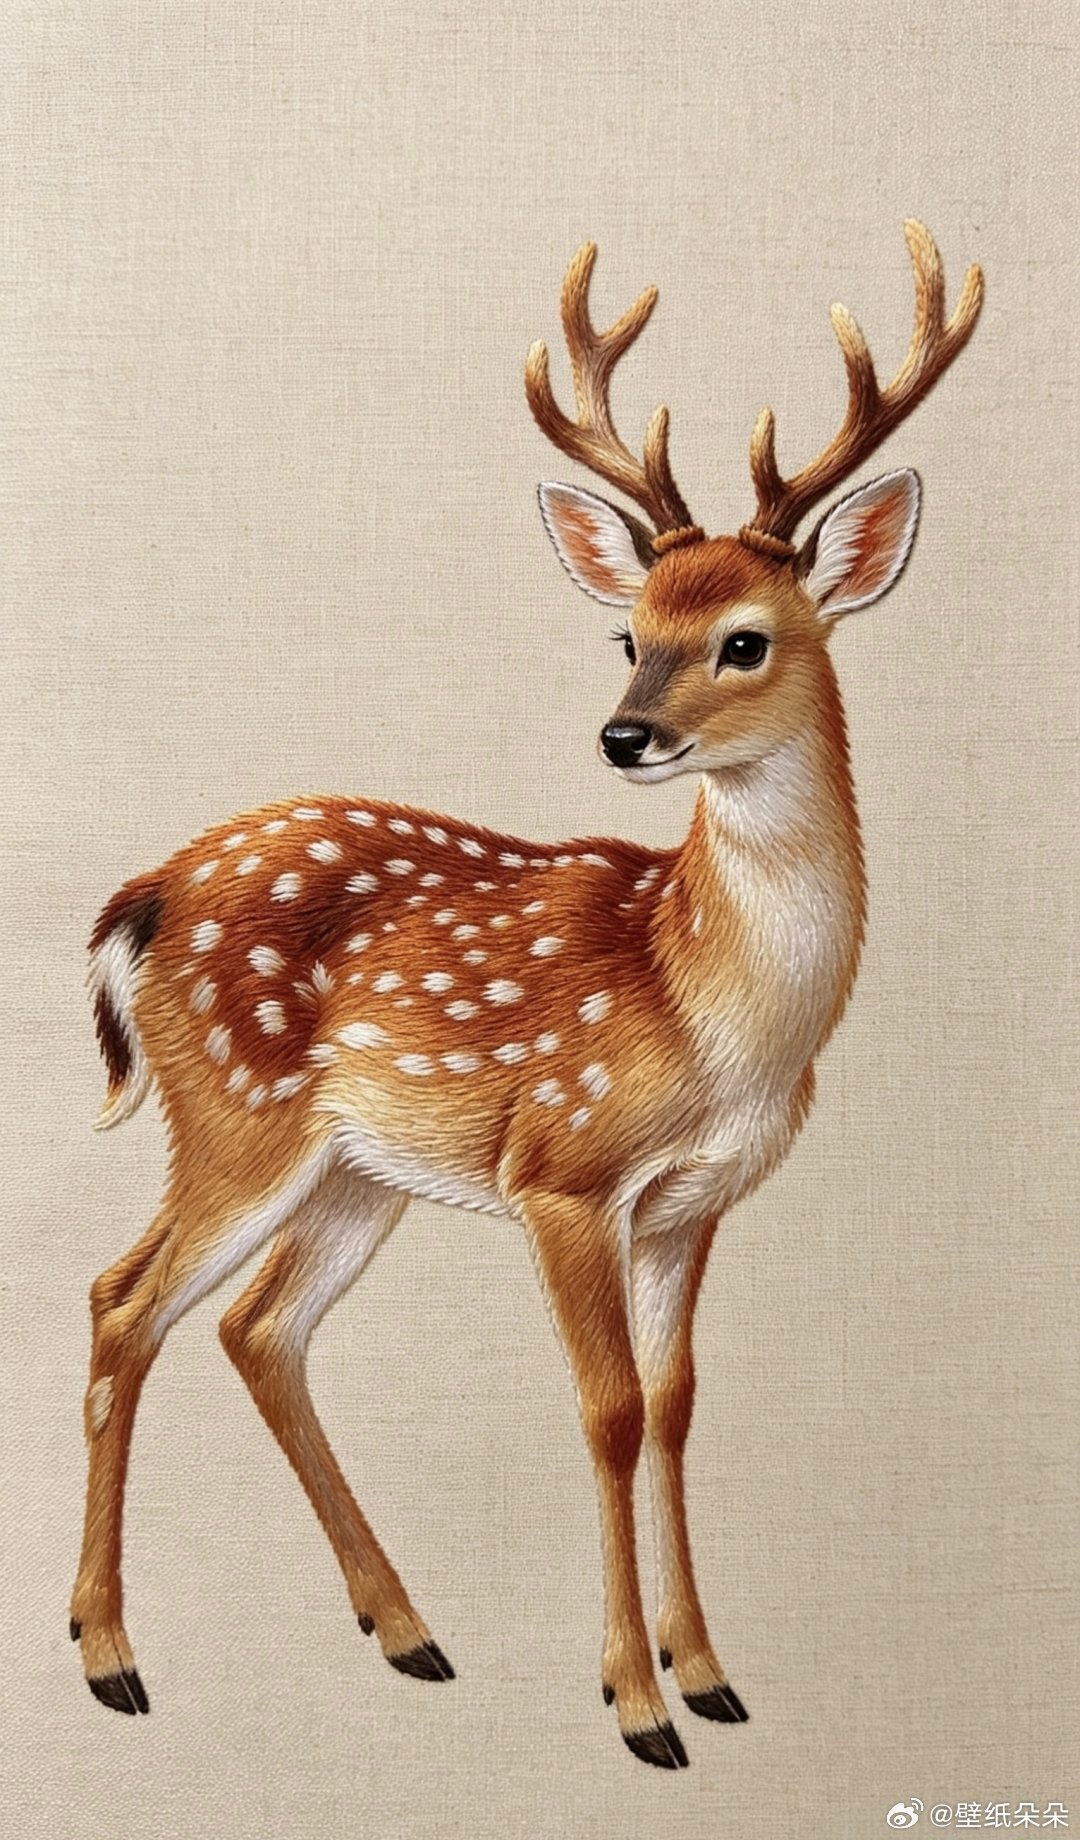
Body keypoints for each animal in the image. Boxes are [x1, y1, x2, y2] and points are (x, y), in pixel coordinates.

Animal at [70, 221, 982, 1768]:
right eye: (628, 631)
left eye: (745, 637)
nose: (626, 735)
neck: (711, 1011)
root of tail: (147, 893)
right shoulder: (564, 1169)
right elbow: (606, 1412)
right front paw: (636, 1705)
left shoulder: (692, 1204)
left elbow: (675, 1408)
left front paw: (711, 1673)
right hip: (236, 1113)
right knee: (124, 1302)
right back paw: (110, 1656)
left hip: (356, 1169)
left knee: (259, 1327)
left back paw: (408, 1631)